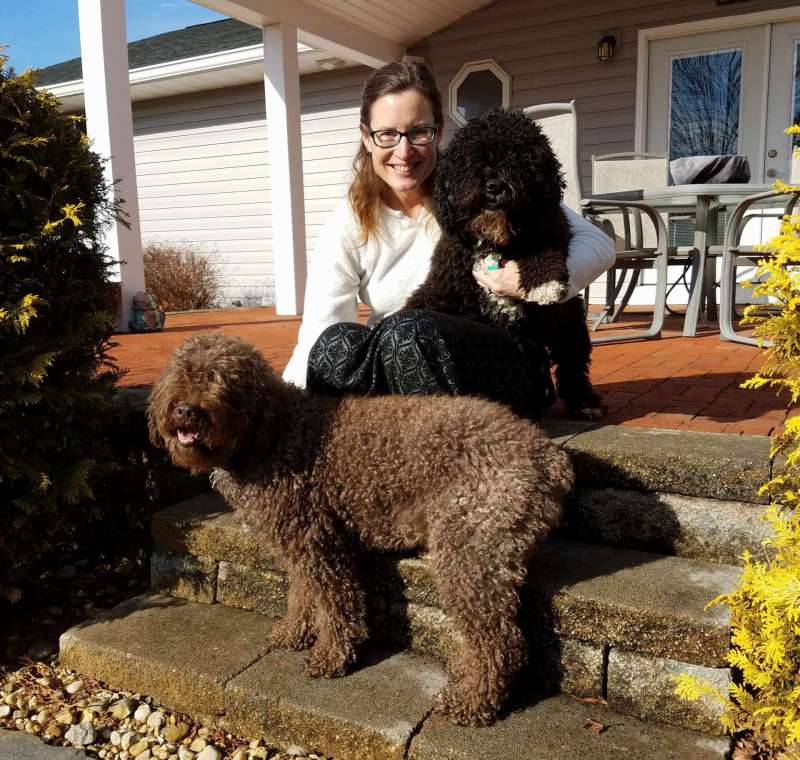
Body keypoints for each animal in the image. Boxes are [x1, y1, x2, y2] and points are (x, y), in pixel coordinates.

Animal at [148, 332, 576, 724]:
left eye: (222, 380)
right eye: (180, 375)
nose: (186, 411)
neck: (272, 434)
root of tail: (547, 456)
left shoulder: (318, 542)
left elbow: (336, 602)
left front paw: (331, 656)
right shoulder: (297, 543)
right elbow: (303, 593)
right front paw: (296, 632)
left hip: (470, 555)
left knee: (500, 641)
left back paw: (471, 701)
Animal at [410, 107, 604, 418]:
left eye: (521, 158)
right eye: (474, 158)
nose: (494, 186)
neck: (495, 240)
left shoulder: (551, 233)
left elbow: (545, 254)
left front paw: (543, 284)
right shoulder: (444, 286)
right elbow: (421, 302)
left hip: (570, 321)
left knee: (573, 364)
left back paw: (584, 402)